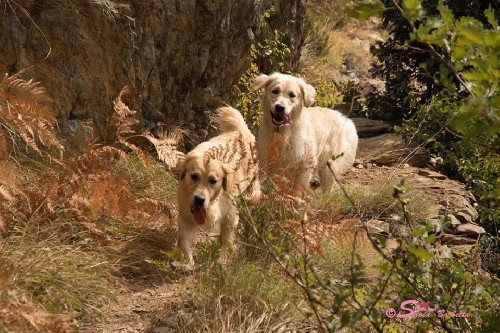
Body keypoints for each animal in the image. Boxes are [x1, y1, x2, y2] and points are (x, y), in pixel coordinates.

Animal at [176, 105, 260, 266]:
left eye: (213, 181)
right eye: (194, 176)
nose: (199, 200)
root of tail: (241, 131)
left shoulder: (231, 216)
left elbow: (226, 241)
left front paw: (222, 261)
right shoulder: (185, 213)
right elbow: (183, 240)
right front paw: (188, 262)